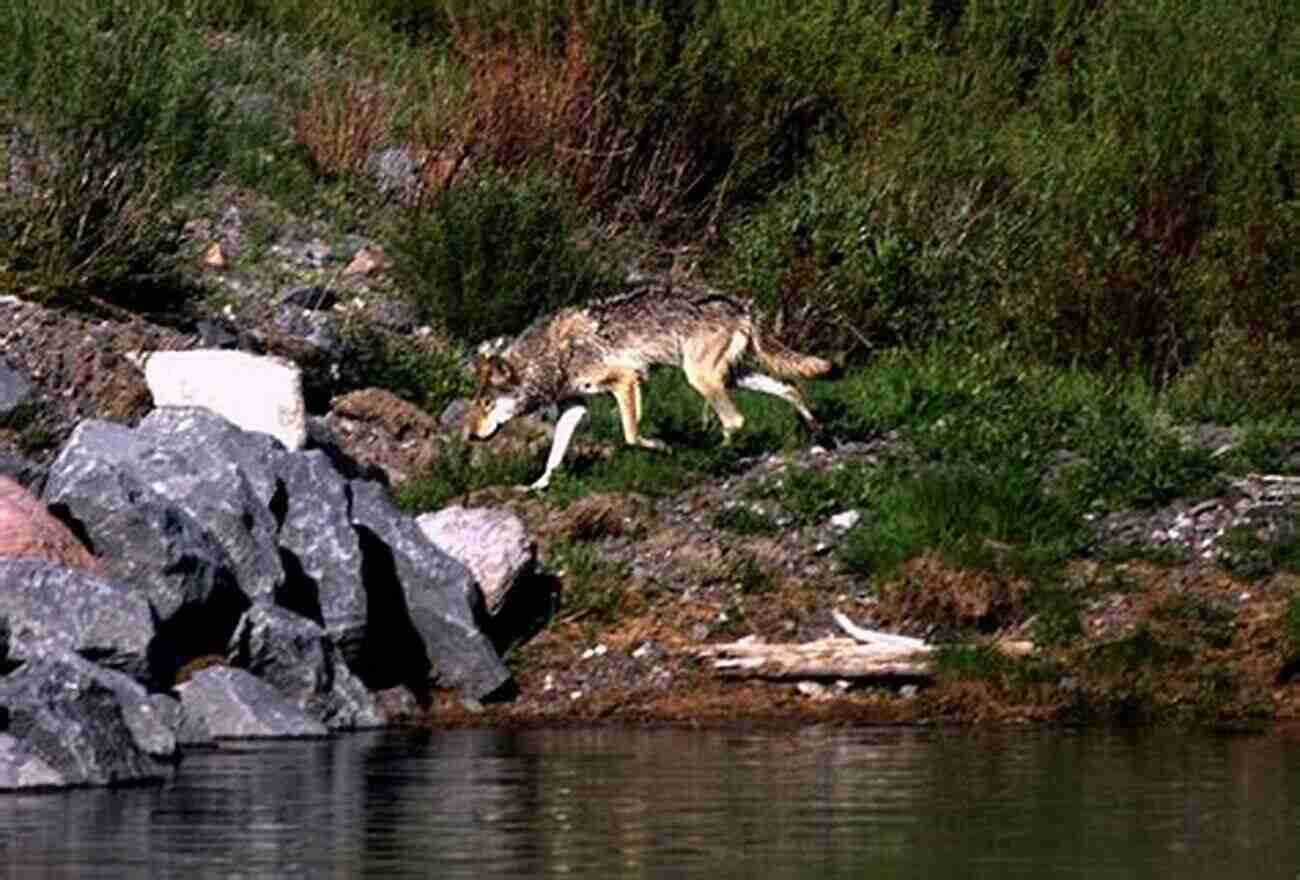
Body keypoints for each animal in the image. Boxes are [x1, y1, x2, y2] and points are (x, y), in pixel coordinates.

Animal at [465, 283, 832, 483]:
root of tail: (741, 306)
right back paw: (816, 430)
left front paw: (662, 447)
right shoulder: (575, 406)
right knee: (789, 388)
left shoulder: (627, 380)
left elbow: (631, 435)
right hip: (733, 377)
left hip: (701, 378)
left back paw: (711, 457)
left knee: (736, 420)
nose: (470, 436)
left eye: (486, 403)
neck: (551, 355)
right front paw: (538, 486)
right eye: (477, 405)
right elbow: (555, 455)